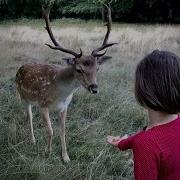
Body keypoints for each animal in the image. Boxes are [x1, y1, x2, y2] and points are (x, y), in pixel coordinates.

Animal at [15, 4, 116, 162]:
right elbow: (50, 130)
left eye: (97, 68)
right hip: (23, 96)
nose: (94, 88)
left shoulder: (64, 107)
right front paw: (47, 152)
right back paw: (32, 140)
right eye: (79, 69)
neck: (60, 93)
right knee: (29, 116)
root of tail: (19, 68)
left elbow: (62, 131)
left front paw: (66, 157)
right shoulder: (43, 105)